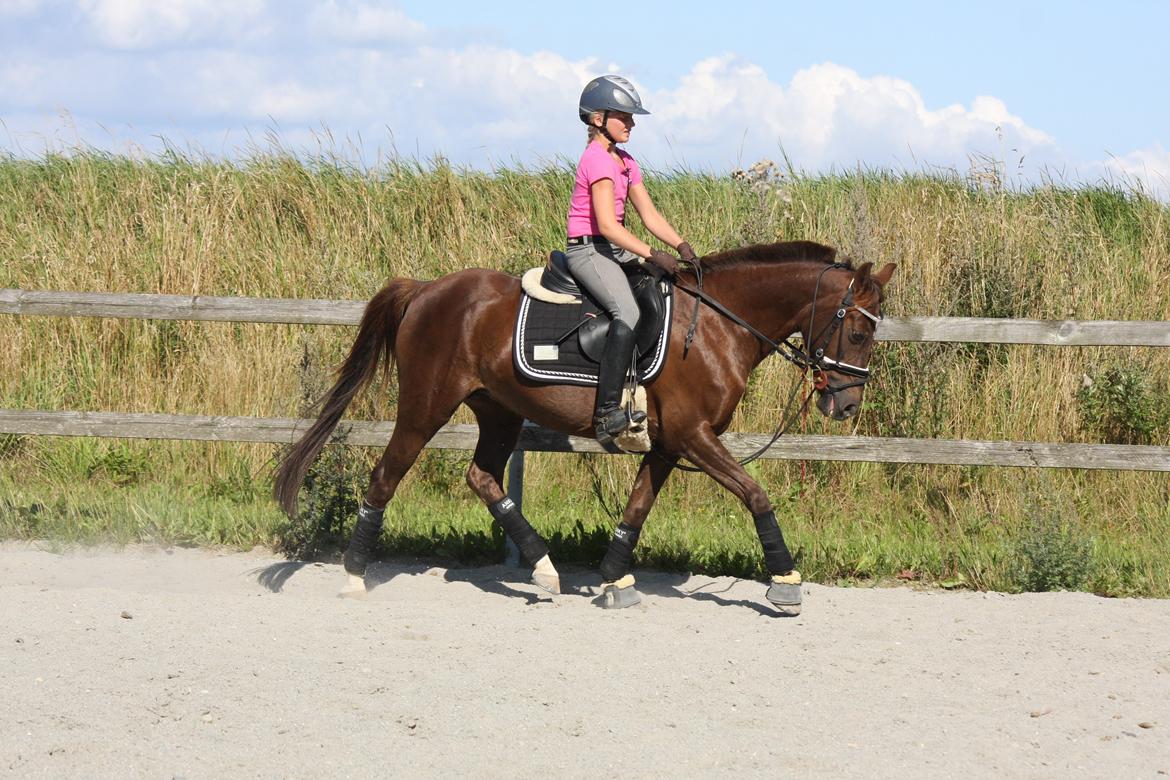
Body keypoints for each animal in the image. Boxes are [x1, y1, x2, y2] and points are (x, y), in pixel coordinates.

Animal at [273, 240, 896, 614]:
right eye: (859, 333)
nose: (846, 406)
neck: (720, 325)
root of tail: (426, 289)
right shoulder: (695, 435)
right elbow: (755, 493)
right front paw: (785, 582)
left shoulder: (669, 443)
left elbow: (638, 507)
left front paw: (615, 578)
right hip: (426, 407)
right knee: (386, 475)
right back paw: (355, 575)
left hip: (498, 409)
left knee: (483, 477)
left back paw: (545, 568)